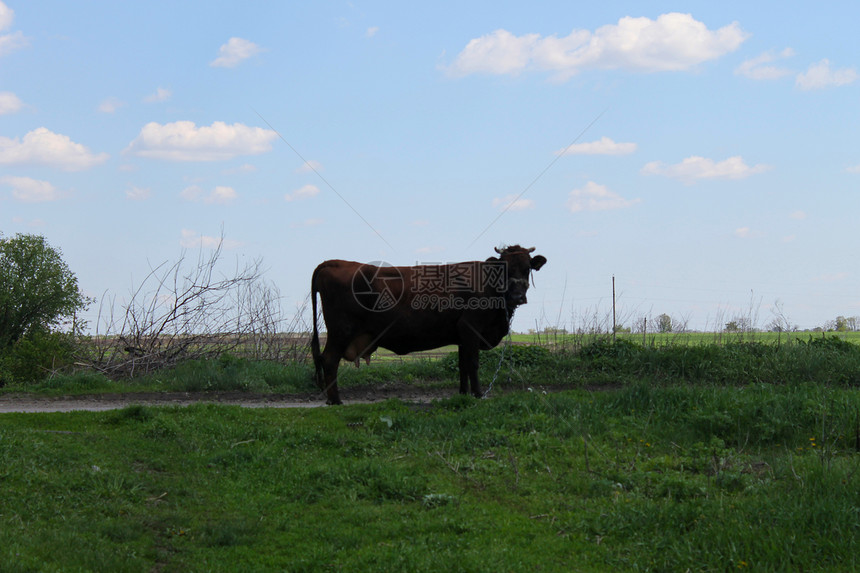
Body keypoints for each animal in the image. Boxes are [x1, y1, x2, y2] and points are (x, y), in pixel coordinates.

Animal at [312, 244, 548, 404]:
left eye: (527, 268)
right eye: (504, 268)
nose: (517, 296)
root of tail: (333, 262)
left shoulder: (461, 336)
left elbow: (462, 365)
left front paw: (463, 394)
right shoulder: (471, 328)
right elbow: (473, 363)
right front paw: (478, 394)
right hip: (341, 331)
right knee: (329, 360)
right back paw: (336, 400)